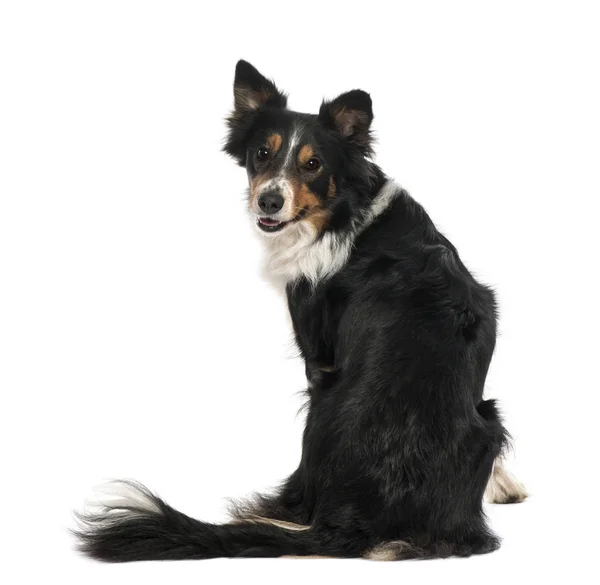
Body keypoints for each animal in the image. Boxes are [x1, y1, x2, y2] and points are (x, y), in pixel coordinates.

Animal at [74, 59, 524, 560]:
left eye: (313, 165)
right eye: (261, 154)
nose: (268, 201)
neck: (345, 212)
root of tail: (354, 521)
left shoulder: (317, 351)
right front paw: (505, 486)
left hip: (321, 406)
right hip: (489, 417)